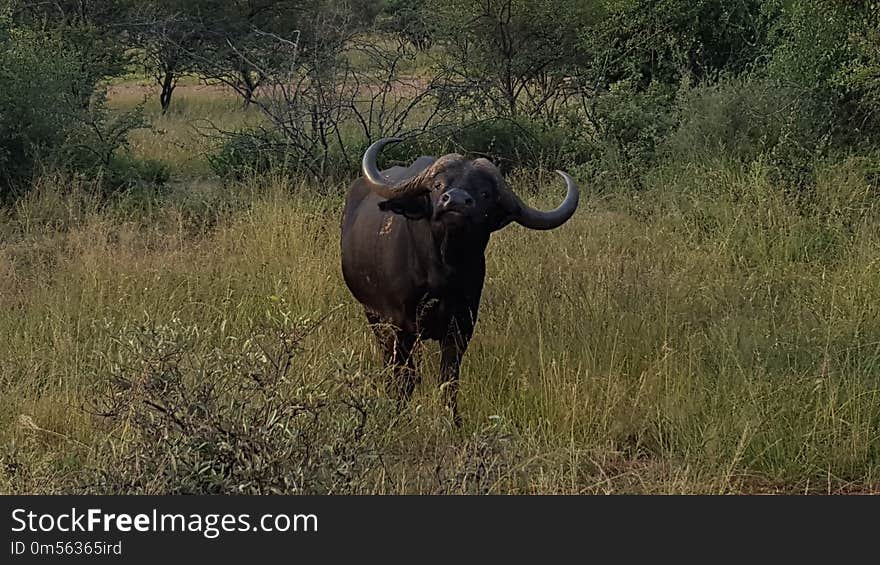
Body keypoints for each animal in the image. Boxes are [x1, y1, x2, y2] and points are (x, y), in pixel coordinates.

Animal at [340, 139, 580, 426]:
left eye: (485, 193)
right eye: (437, 185)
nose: (455, 201)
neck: (441, 272)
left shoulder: (461, 326)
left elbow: (449, 379)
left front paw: (453, 420)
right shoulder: (400, 324)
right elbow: (405, 376)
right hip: (374, 316)